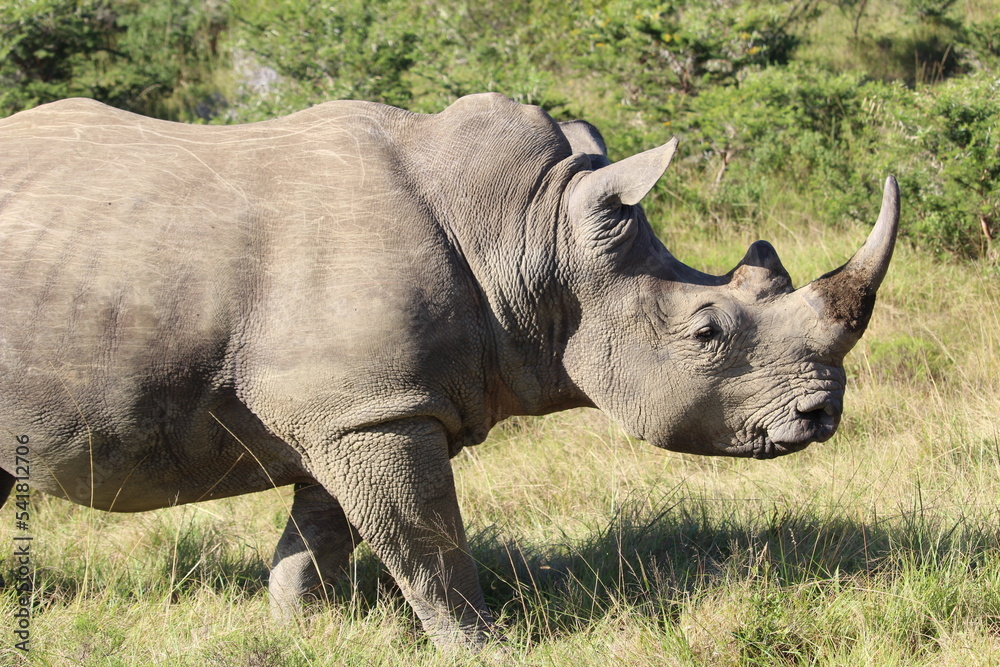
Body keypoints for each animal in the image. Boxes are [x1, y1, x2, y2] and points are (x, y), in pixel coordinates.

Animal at [0, 93, 897, 648]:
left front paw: (301, 631)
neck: (529, 234)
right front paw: (487, 644)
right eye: (708, 331)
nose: (822, 414)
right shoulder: (375, 410)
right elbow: (427, 542)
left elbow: (323, 535)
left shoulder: (358, 405)